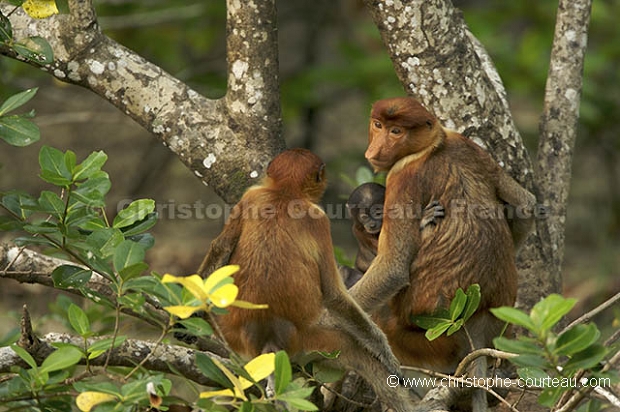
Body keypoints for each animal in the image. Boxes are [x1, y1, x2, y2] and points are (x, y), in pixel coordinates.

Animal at [199, 150, 412, 410]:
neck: (285, 193)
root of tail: (269, 339)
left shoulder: (251, 197)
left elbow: (220, 248)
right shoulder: (318, 219)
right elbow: (333, 294)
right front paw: (387, 355)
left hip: (234, 336)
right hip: (309, 342)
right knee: (357, 352)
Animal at [352, 96, 536, 408]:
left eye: (396, 132)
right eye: (378, 125)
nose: (375, 150)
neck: (433, 146)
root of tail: (477, 321)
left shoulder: (401, 176)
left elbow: (392, 269)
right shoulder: (468, 144)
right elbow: (526, 204)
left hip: (428, 343)